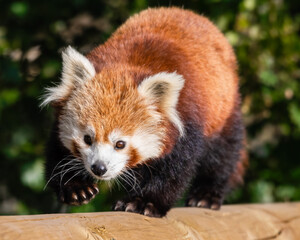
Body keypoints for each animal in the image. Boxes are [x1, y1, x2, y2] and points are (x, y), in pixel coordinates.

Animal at [43, 7, 247, 218]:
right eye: (87, 138)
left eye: (120, 144)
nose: (99, 168)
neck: (126, 67)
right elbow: (57, 152)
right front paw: (76, 188)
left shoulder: (188, 119)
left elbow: (175, 170)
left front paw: (144, 202)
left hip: (224, 109)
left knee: (223, 154)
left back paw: (207, 194)